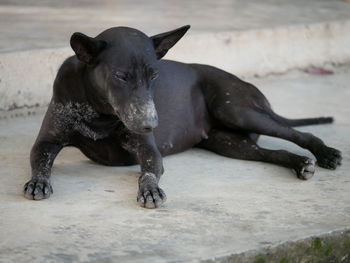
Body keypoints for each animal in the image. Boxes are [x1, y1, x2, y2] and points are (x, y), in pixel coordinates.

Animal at [23, 25, 342, 209]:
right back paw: (300, 164)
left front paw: (150, 190)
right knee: (270, 153)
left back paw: (325, 154)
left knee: (300, 134)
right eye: (120, 76)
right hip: (231, 143)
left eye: (154, 74)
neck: (99, 111)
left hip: (237, 110)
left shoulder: (147, 148)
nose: (150, 124)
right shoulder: (47, 142)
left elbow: (149, 171)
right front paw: (38, 182)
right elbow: (41, 163)